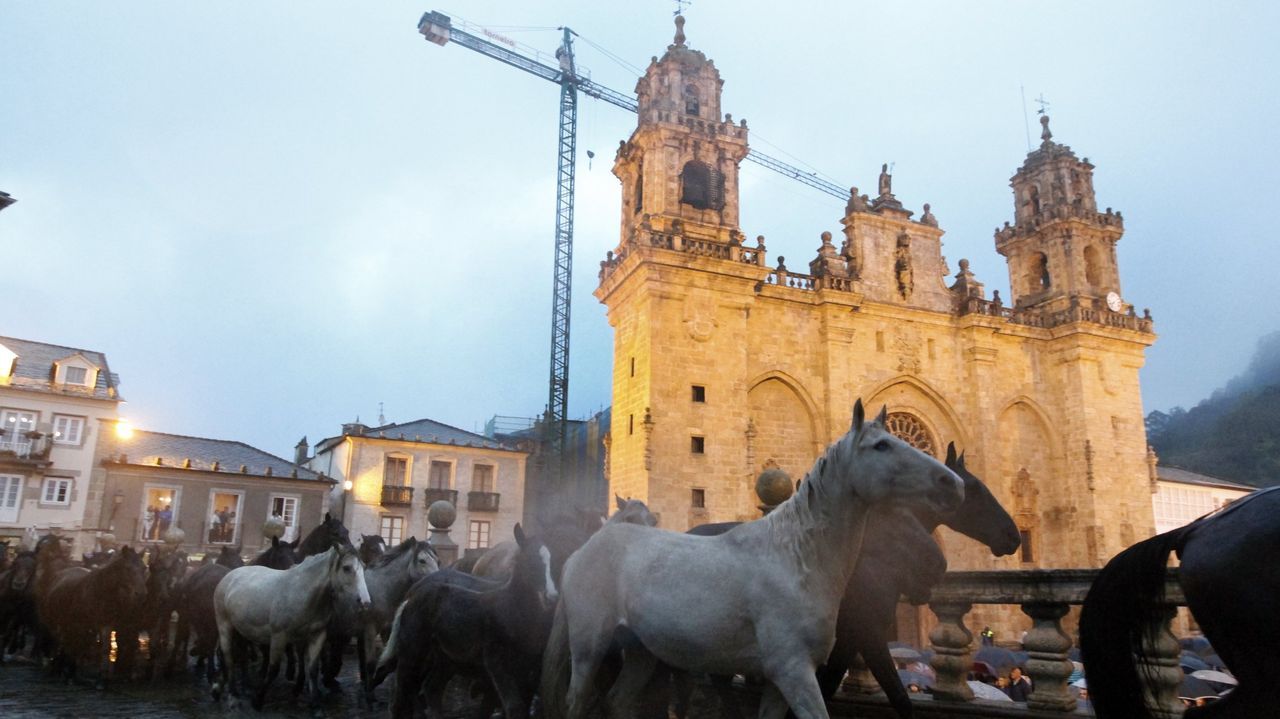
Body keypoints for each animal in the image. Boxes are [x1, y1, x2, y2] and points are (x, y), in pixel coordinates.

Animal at [38, 545, 148, 686]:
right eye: (128, 568)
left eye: (144, 568)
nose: (141, 594)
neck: (102, 591)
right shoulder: (91, 625)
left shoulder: (106, 624)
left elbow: (104, 648)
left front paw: (102, 678)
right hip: (56, 623)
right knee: (59, 641)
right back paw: (56, 669)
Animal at [213, 544, 370, 709]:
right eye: (347, 568)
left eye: (363, 567)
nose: (365, 602)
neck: (303, 593)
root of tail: (230, 575)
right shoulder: (279, 636)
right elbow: (274, 669)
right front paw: (258, 700)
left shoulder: (317, 635)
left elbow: (313, 670)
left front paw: (316, 705)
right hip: (224, 625)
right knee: (228, 656)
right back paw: (232, 695)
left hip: (241, 630)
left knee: (239, 654)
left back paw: (228, 688)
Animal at [374, 523, 558, 719]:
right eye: (530, 561)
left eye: (552, 561)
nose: (552, 596)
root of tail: (410, 598)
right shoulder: (497, 664)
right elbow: (513, 707)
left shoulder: (527, 671)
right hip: (413, 652)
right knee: (403, 693)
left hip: (445, 659)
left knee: (431, 688)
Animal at [547, 400, 963, 719]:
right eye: (880, 446)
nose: (953, 484)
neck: (796, 559)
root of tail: (582, 551)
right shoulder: (793, 672)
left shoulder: (780, 682)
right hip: (588, 647)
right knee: (576, 701)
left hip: (640, 653)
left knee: (617, 702)